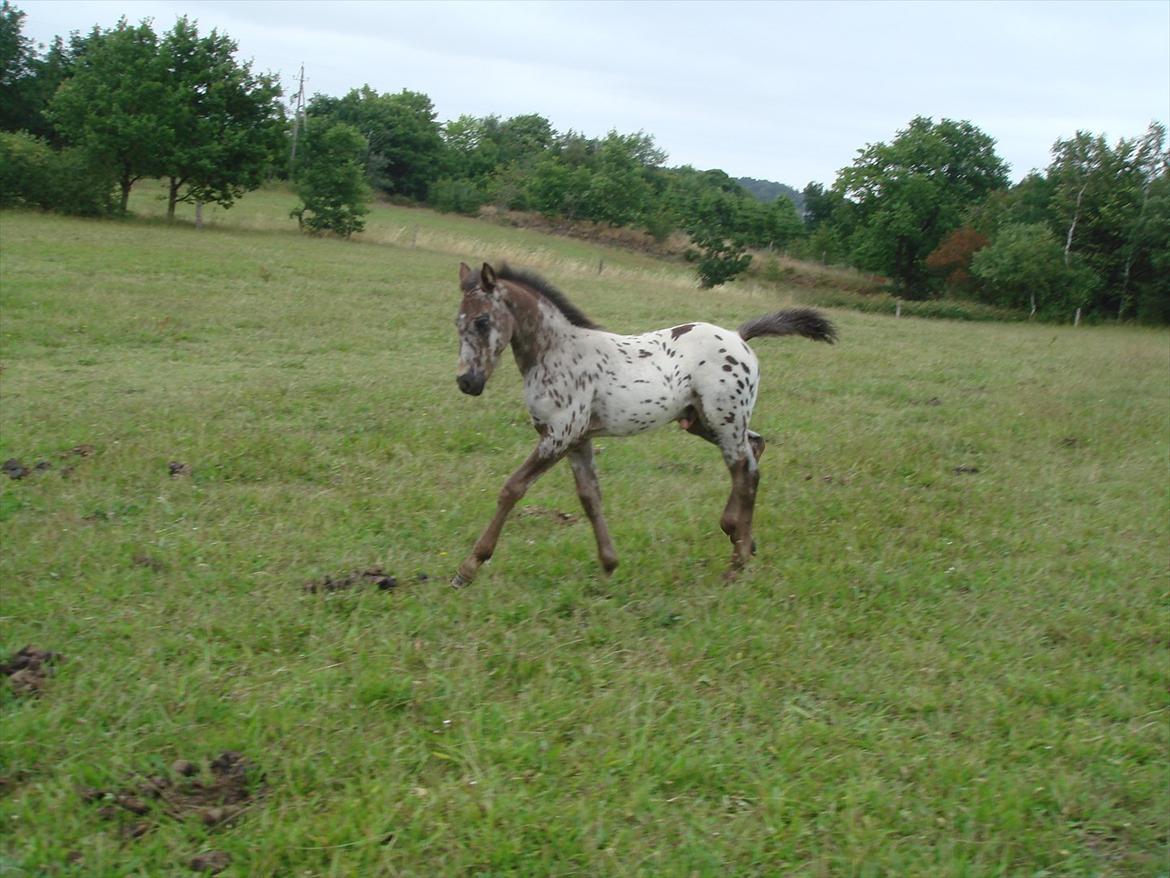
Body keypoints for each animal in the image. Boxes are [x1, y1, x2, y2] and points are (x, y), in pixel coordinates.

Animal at [451, 263, 837, 592]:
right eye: (457, 323)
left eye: (483, 321)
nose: (467, 382)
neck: (555, 352)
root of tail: (738, 336)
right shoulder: (577, 439)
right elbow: (590, 497)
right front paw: (609, 564)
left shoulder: (559, 435)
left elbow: (512, 488)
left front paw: (469, 568)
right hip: (704, 422)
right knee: (755, 449)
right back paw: (741, 535)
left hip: (724, 420)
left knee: (744, 470)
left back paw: (736, 562)